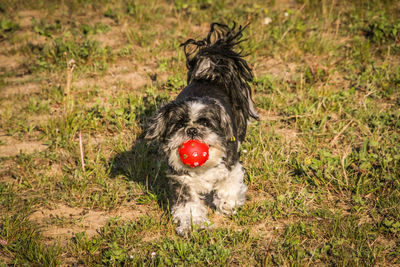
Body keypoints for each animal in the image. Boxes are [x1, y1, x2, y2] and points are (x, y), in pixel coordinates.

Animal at [145, 23, 258, 237]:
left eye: (206, 123)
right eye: (179, 124)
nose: (192, 130)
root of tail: (209, 75)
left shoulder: (231, 164)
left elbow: (229, 183)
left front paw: (227, 204)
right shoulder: (182, 180)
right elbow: (188, 205)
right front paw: (192, 224)